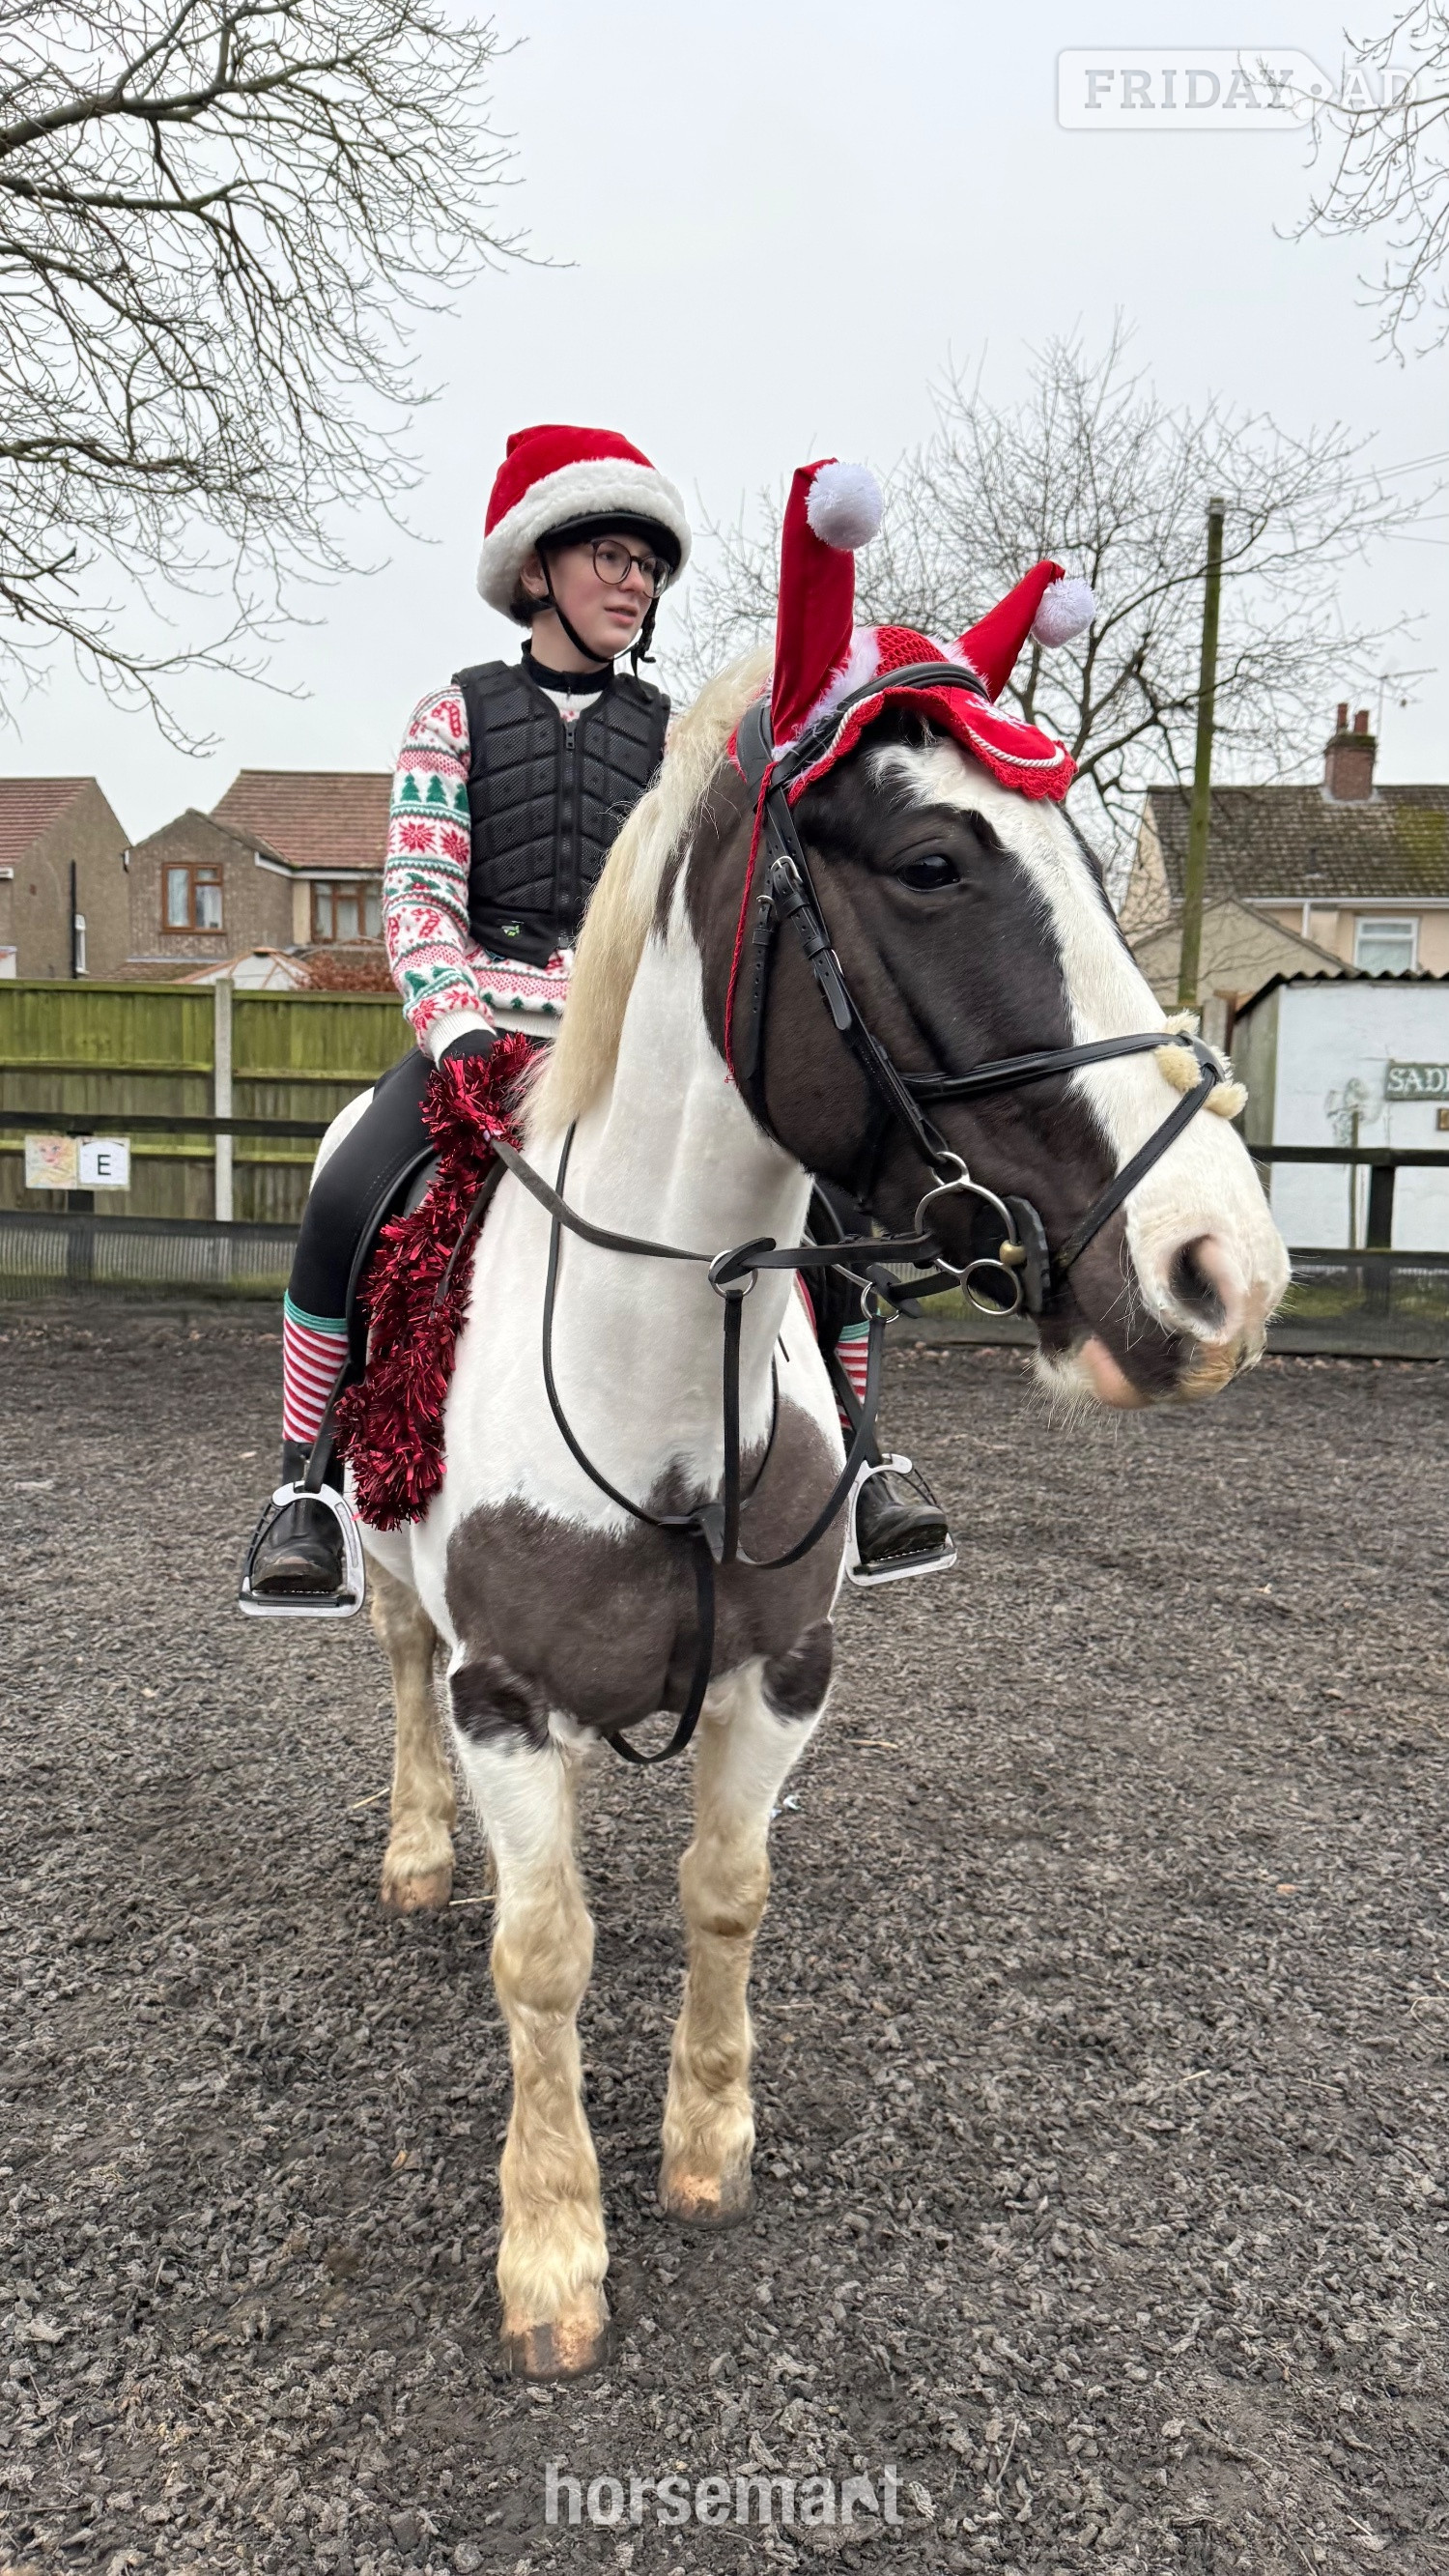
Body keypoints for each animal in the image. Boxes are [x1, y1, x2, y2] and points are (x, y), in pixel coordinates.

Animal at [335, 628, 1288, 2379]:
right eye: (931, 864)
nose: (1225, 1271)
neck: (653, 1391)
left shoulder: (782, 1674)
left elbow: (728, 1894)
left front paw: (707, 2144)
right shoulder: (505, 1700)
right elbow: (542, 1953)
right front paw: (553, 2248)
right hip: (379, 1568)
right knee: (397, 1671)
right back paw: (422, 1849)